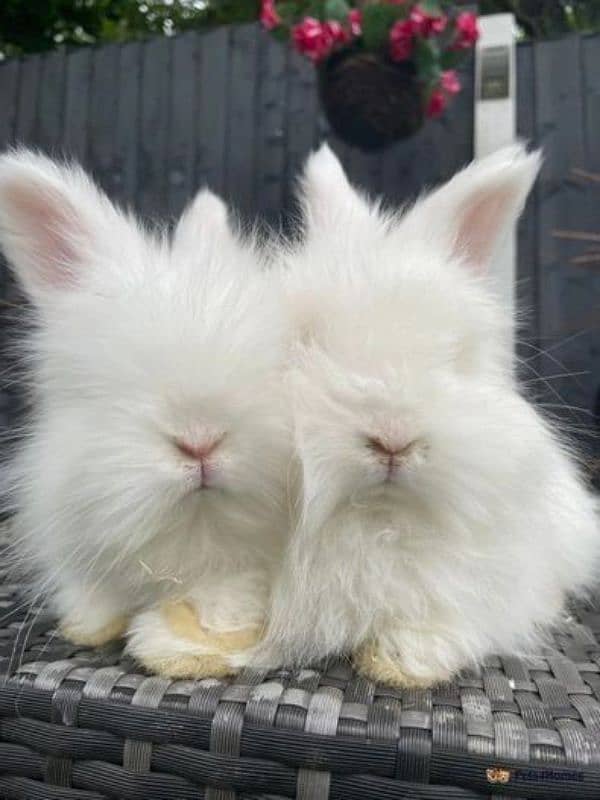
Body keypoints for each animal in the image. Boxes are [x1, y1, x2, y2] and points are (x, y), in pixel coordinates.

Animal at [0, 150, 290, 676]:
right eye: (108, 380)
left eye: (269, 368)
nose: (199, 441)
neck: (193, 535)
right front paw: (88, 622)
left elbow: (224, 600)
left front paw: (179, 648)